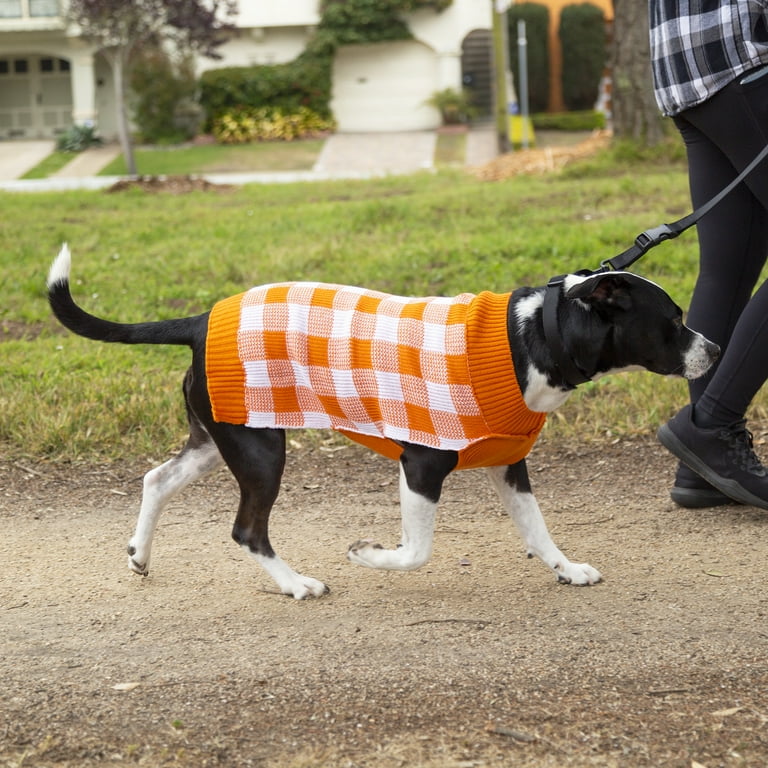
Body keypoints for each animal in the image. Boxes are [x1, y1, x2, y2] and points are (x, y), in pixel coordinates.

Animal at [48, 246, 720, 600]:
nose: (714, 350)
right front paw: (369, 556)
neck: (534, 336)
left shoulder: (508, 463)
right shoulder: (421, 465)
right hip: (262, 452)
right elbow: (416, 552)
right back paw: (295, 583)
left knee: (157, 480)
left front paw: (566, 568)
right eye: (674, 319)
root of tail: (199, 319)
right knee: (246, 529)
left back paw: (140, 554)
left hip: (220, 439)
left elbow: (538, 531)